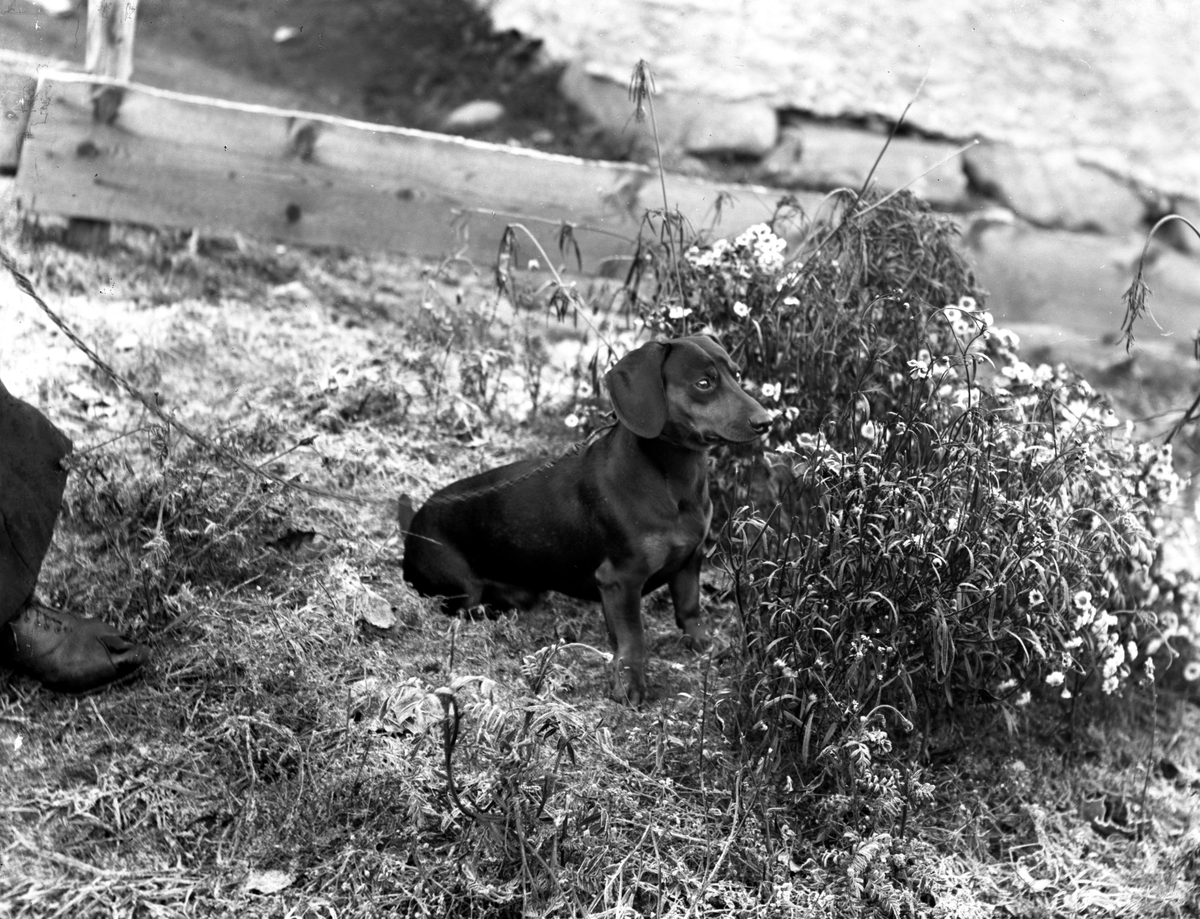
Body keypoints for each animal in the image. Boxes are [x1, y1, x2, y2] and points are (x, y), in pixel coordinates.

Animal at [401, 334, 772, 705]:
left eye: (737, 374)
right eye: (704, 383)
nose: (765, 421)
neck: (671, 480)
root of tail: (413, 524)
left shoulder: (690, 559)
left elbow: (690, 609)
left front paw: (704, 645)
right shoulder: (620, 579)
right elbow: (633, 638)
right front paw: (629, 686)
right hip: (463, 590)